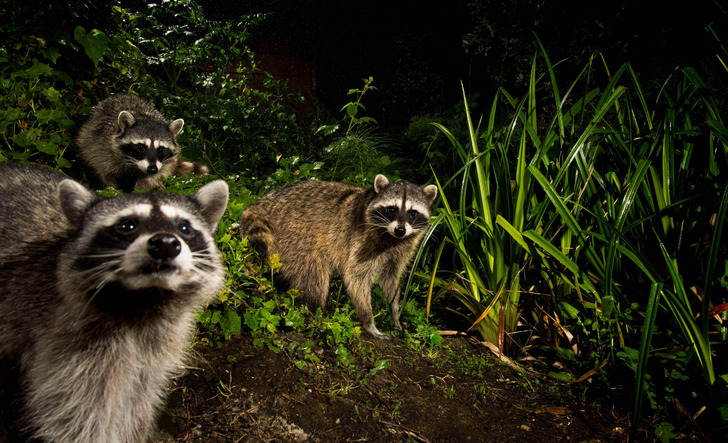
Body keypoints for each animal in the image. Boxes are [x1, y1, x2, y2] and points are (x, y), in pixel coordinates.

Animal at [0, 163, 228, 442]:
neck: (144, 302)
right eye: (127, 226)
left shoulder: (154, 353)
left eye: (184, 227)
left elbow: (135, 403)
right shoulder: (66, 347)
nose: (165, 244)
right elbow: (76, 415)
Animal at [75, 94, 210, 192]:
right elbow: (107, 176)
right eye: (140, 147)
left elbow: (146, 182)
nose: (152, 169)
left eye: (161, 149)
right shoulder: (101, 149)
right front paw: (112, 191)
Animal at [239, 175, 438, 340]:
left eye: (413, 212)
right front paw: (368, 321)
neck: (392, 238)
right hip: (293, 236)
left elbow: (390, 278)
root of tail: (263, 203)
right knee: (314, 276)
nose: (400, 229)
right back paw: (315, 316)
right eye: (391, 209)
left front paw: (395, 311)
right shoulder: (362, 239)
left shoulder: (401, 250)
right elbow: (355, 276)